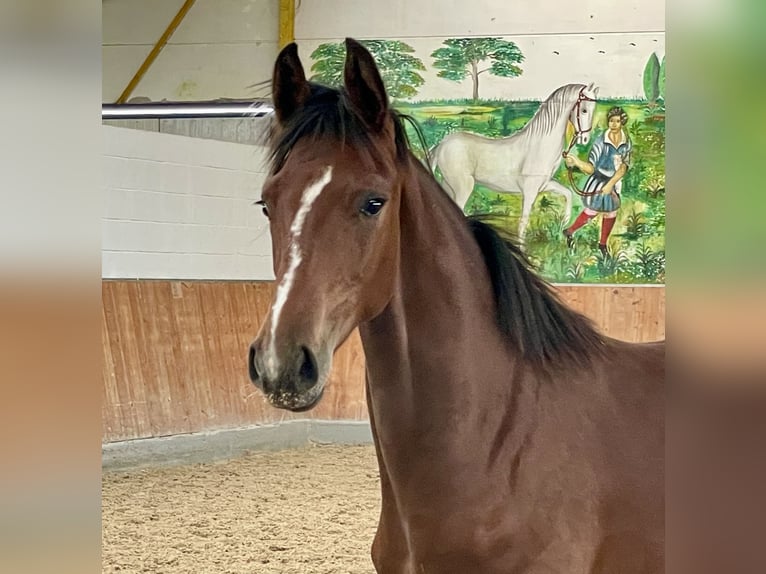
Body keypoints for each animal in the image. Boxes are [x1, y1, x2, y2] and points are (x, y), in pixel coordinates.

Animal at [432, 82, 600, 241]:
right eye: (584, 110)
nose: (585, 139)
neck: (540, 145)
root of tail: (441, 145)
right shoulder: (530, 191)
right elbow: (523, 222)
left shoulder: (545, 185)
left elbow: (568, 193)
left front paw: (564, 222)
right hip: (463, 187)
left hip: (448, 185)